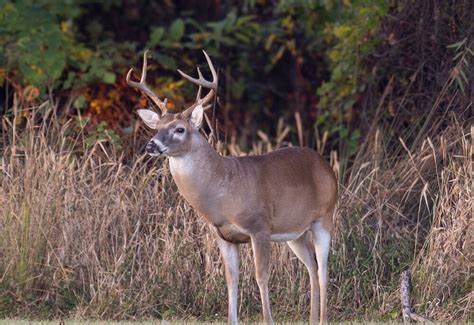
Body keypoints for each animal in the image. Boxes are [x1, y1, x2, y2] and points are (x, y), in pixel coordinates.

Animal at [127, 50, 336, 324]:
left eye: (179, 129)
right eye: (157, 127)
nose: (151, 145)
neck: (222, 191)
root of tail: (326, 166)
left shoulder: (259, 227)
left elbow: (261, 277)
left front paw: (267, 320)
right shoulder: (224, 236)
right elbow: (231, 280)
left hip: (325, 217)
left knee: (323, 271)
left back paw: (322, 317)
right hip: (296, 231)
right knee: (311, 266)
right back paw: (311, 319)